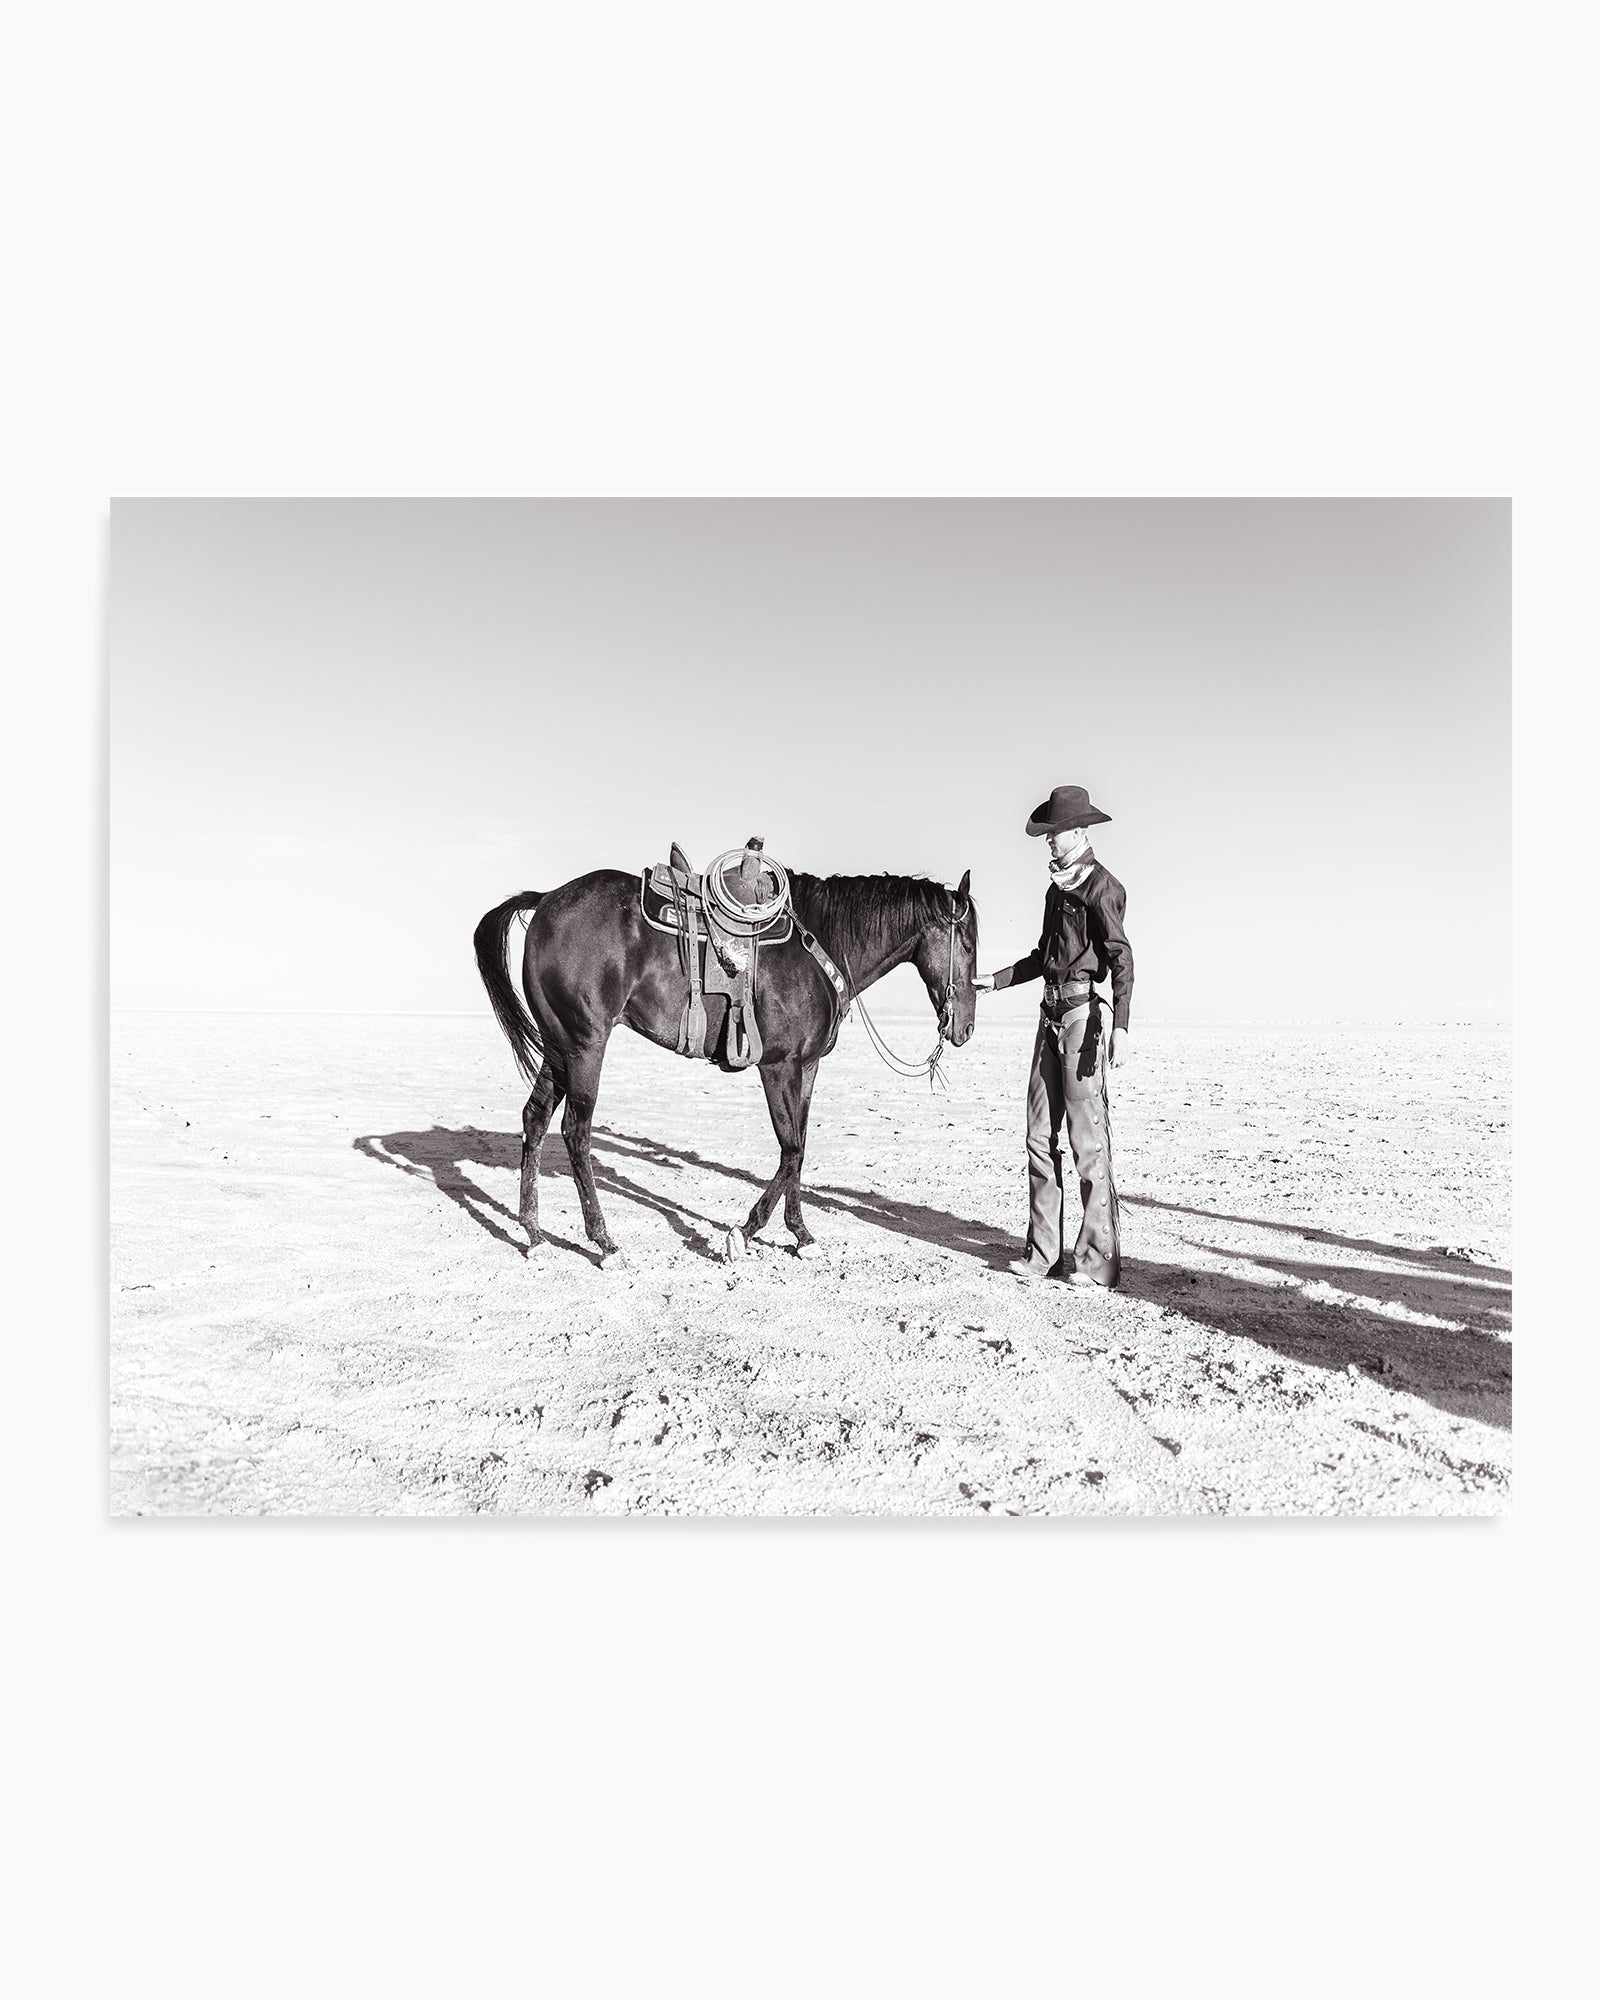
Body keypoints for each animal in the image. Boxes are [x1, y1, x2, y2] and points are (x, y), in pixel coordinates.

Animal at [473, 863, 977, 1264]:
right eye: (969, 945)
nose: (966, 1028)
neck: (820, 944)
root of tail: (545, 901)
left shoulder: (808, 1068)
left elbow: (800, 1147)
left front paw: (801, 1234)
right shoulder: (778, 1066)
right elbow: (790, 1149)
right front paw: (744, 1232)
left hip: (558, 1046)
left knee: (535, 1119)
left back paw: (534, 1234)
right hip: (584, 1045)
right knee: (575, 1132)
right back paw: (604, 1242)